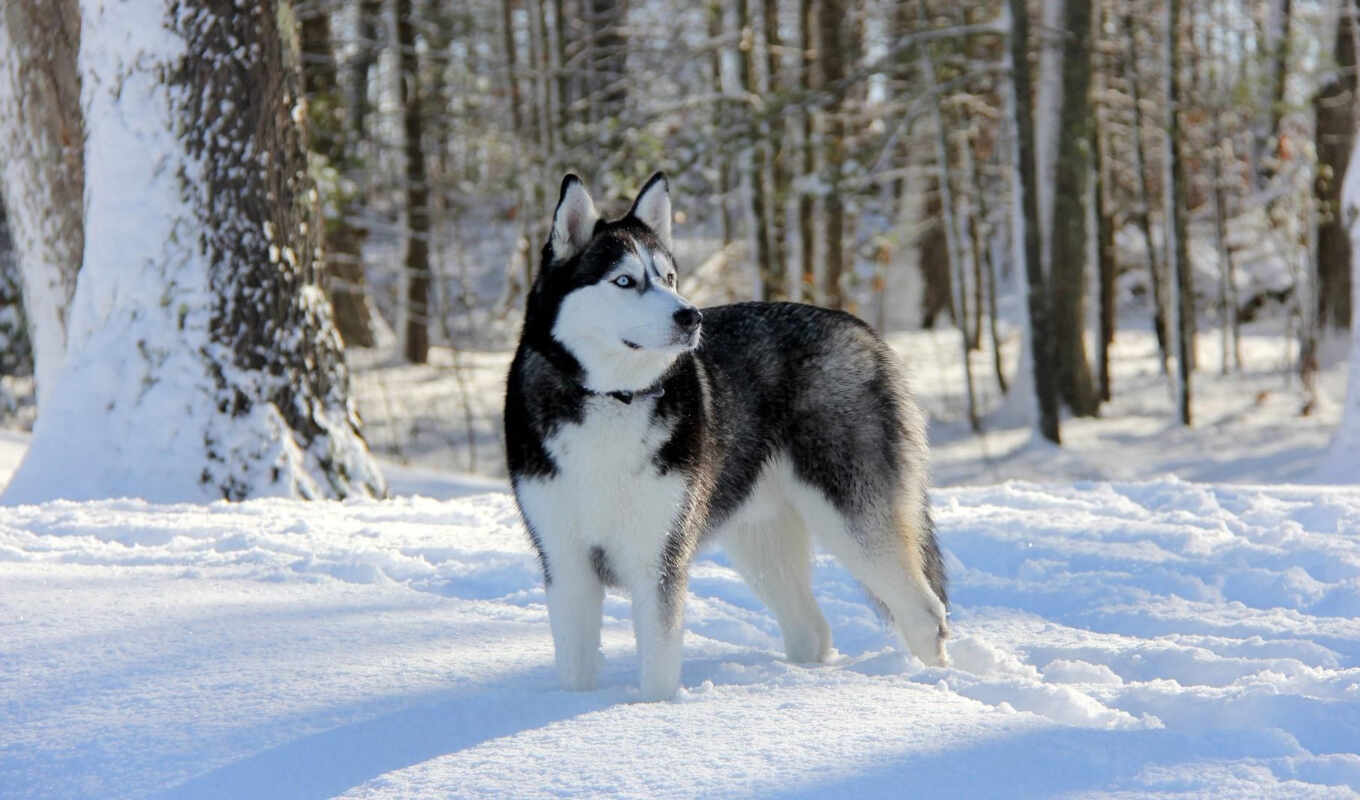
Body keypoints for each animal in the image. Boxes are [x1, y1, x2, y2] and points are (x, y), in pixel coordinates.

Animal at [505, 172, 952, 696]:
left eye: (668, 278)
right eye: (624, 280)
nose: (690, 316)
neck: (612, 398)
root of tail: (865, 332)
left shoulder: (660, 560)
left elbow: (658, 673)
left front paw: (649, 713)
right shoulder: (566, 563)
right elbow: (575, 673)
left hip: (854, 518)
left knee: (924, 614)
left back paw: (937, 685)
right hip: (760, 539)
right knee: (812, 628)